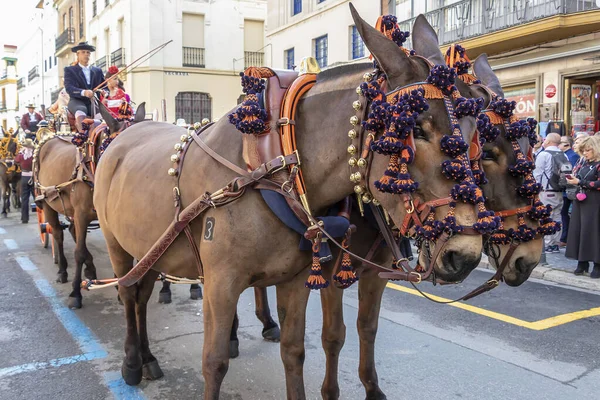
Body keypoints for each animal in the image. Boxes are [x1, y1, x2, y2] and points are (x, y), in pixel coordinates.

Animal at [34, 104, 145, 310]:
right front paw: (75, 293)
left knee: (72, 231)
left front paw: (118, 287)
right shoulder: (81, 215)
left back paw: (90, 270)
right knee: (58, 233)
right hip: (47, 202)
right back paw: (63, 271)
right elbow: (78, 252)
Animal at [94, 5, 486, 396]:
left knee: (142, 295)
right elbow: (214, 362)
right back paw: (133, 361)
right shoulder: (220, 283)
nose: (464, 255)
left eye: (474, 135)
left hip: (149, 247)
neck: (276, 166)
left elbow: (294, 351)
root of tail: (122, 135)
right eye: (415, 129)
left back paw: (148, 357)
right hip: (117, 243)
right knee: (129, 294)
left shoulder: (297, 280)